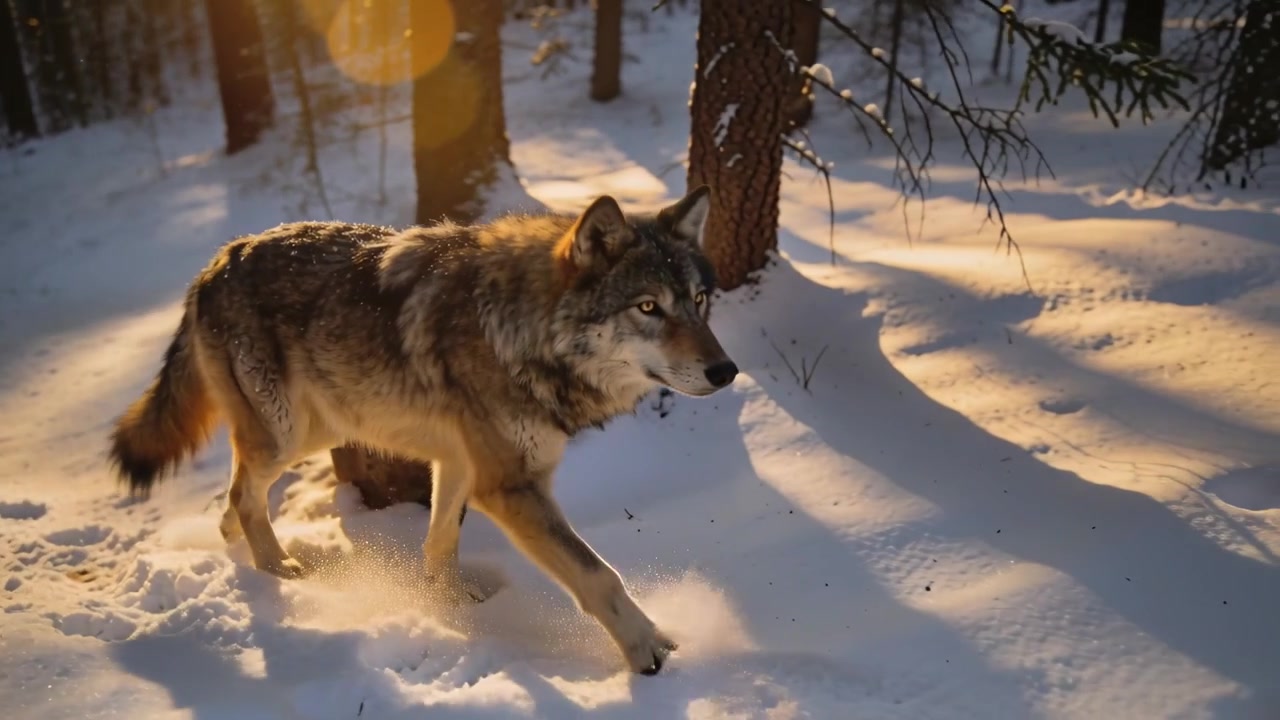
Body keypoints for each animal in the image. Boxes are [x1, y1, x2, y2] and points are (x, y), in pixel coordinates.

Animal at [107, 186, 737, 674]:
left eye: (700, 301)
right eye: (649, 307)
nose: (726, 370)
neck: (515, 326)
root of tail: (217, 260)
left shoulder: (460, 465)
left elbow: (440, 543)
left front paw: (452, 608)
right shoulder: (508, 485)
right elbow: (599, 575)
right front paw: (648, 651)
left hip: (315, 429)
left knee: (237, 494)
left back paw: (236, 545)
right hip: (288, 433)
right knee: (243, 492)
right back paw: (276, 573)